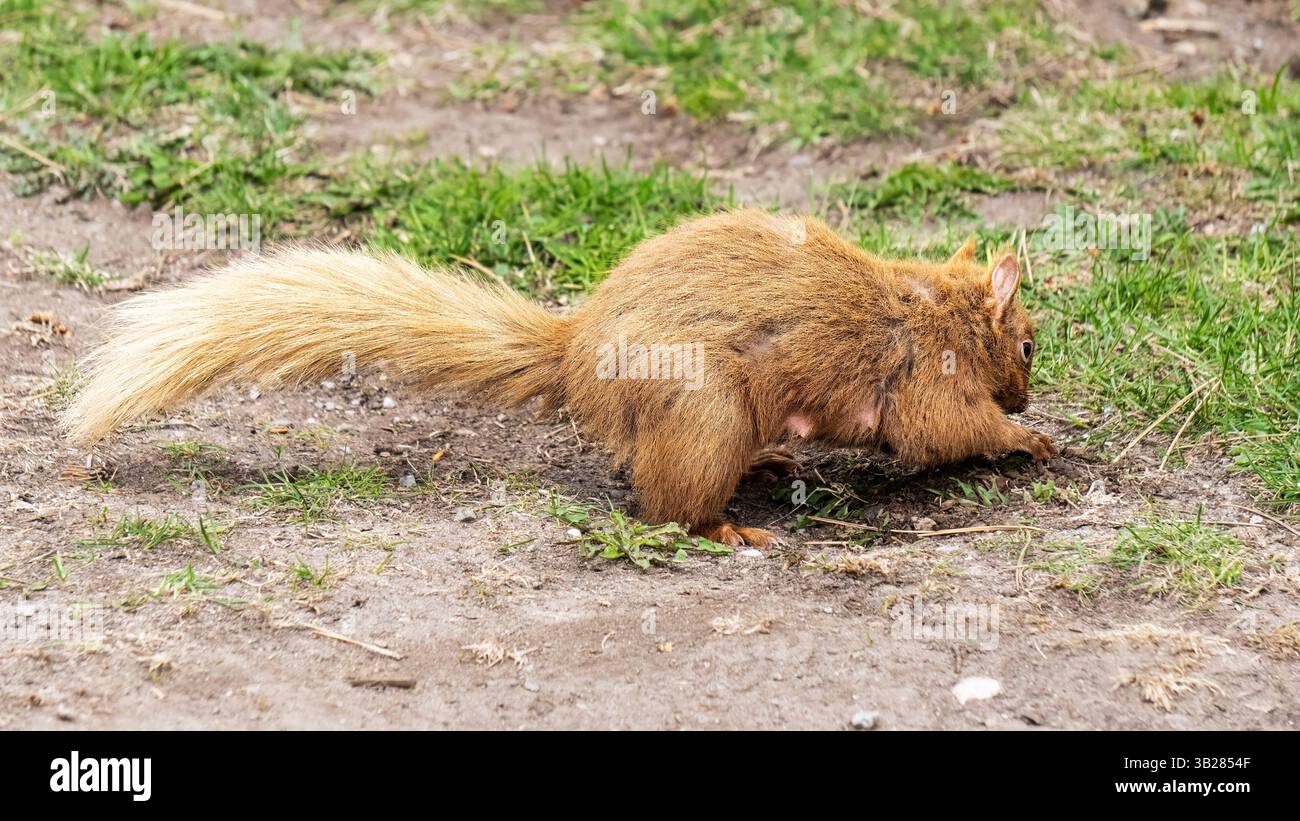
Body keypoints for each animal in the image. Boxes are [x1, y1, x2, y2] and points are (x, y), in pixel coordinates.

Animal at [62, 208, 1057, 547]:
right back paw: (732, 528)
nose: (1028, 390)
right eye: (1031, 346)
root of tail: (575, 353)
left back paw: (771, 466)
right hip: (704, 411)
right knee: (667, 506)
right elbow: (942, 431)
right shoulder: (926, 376)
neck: (933, 308)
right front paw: (1029, 436)